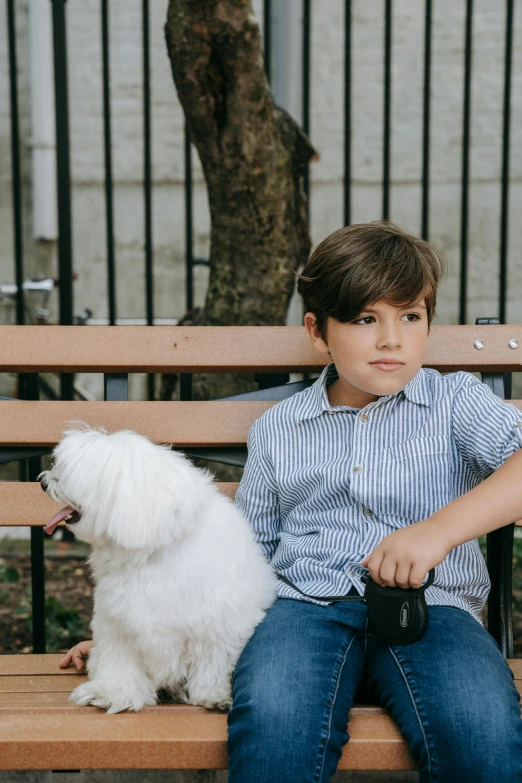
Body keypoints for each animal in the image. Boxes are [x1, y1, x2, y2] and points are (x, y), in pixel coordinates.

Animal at [37, 422, 276, 716]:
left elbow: (213, 663)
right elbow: (119, 663)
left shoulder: (220, 623)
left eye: (68, 474)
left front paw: (213, 695)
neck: (153, 551)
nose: (43, 481)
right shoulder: (117, 624)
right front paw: (112, 693)